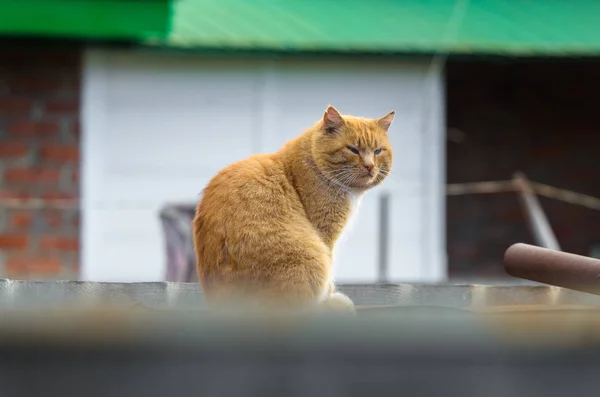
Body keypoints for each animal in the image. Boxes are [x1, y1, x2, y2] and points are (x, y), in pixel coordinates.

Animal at [192, 104, 394, 312]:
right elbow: (330, 273)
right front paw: (328, 297)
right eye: (353, 149)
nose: (370, 166)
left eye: (377, 151)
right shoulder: (326, 236)